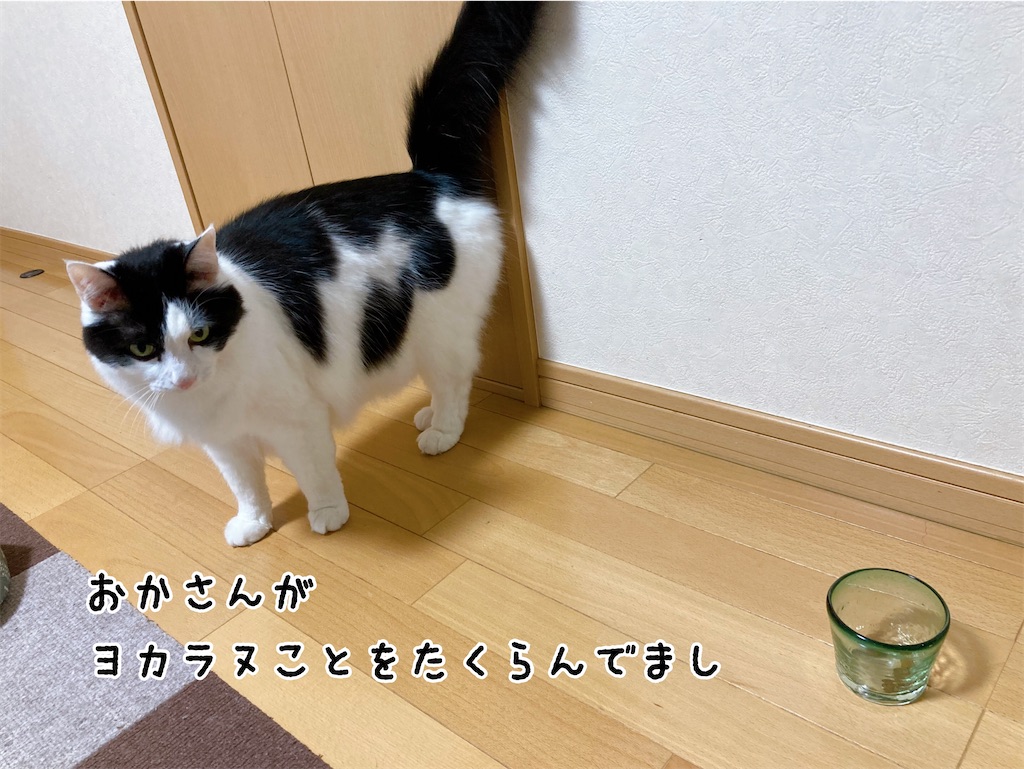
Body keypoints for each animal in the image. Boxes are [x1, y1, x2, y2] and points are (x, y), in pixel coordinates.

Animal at [66, 2, 540, 547]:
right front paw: (254, 524)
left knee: (455, 380)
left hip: (442, 328)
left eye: (200, 334)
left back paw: (442, 430)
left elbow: (315, 473)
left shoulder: (298, 418)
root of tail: (426, 177)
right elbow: (245, 486)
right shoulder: (225, 443)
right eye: (143, 348)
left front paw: (328, 515)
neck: (211, 395)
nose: (183, 379)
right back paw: (426, 417)